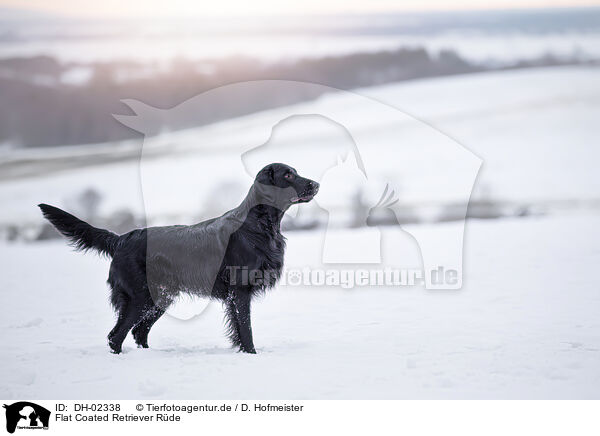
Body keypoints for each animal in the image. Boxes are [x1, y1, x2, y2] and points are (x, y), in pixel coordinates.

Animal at [38, 164, 318, 354]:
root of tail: (122, 238)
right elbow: (246, 330)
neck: (258, 224)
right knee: (116, 335)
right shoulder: (240, 291)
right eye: (288, 175)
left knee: (138, 332)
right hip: (140, 297)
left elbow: (239, 330)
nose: (315, 184)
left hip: (159, 298)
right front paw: (251, 354)